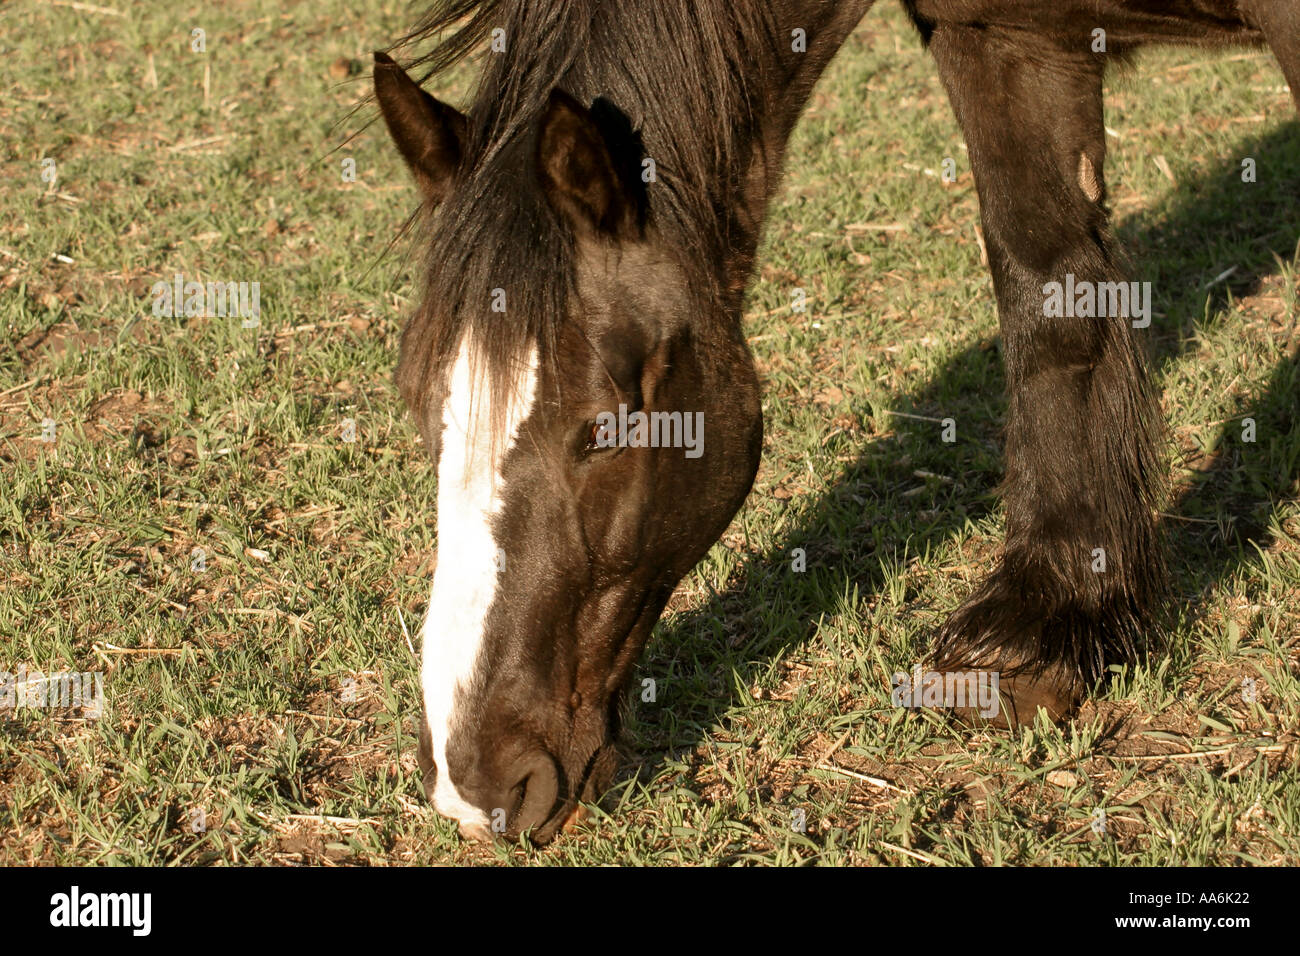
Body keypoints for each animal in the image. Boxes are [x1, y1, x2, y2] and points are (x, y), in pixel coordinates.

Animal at [371, 0, 1294, 842]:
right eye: (423, 411)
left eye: (600, 428)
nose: (473, 784)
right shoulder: (1001, 39)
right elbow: (1051, 295)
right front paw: (1047, 628)